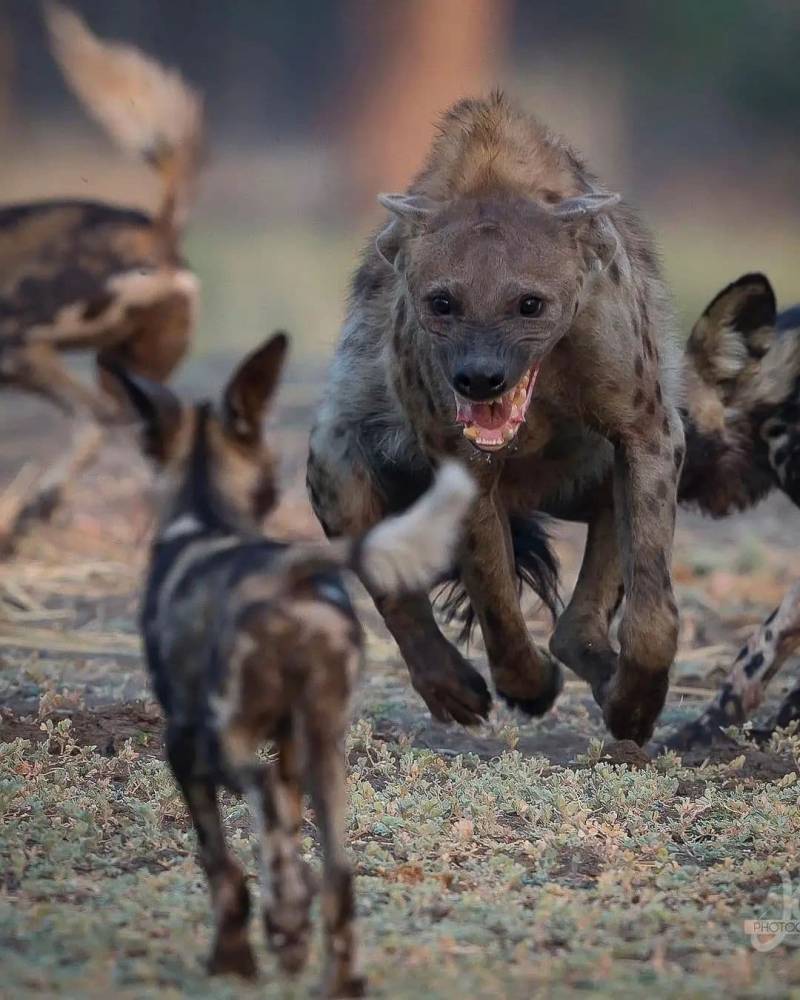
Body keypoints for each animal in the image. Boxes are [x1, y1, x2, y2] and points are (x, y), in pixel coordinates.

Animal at [107, 332, 482, 996]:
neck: (205, 513)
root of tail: (291, 571)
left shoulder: (183, 747)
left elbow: (221, 866)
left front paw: (233, 957)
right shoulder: (287, 748)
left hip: (224, 738)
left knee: (266, 811)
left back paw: (285, 917)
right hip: (324, 751)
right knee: (337, 872)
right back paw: (332, 970)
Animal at [306, 94, 680, 748]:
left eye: (530, 304)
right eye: (442, 303)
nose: (479, 377)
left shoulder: (649, 425)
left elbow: (652, 596)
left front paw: (635, 707)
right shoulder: (458, 460)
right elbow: (495, 595)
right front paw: (529, 689)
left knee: (584, 602)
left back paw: (598, 670)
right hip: (335, 456)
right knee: (388, 574)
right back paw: (453, 689)